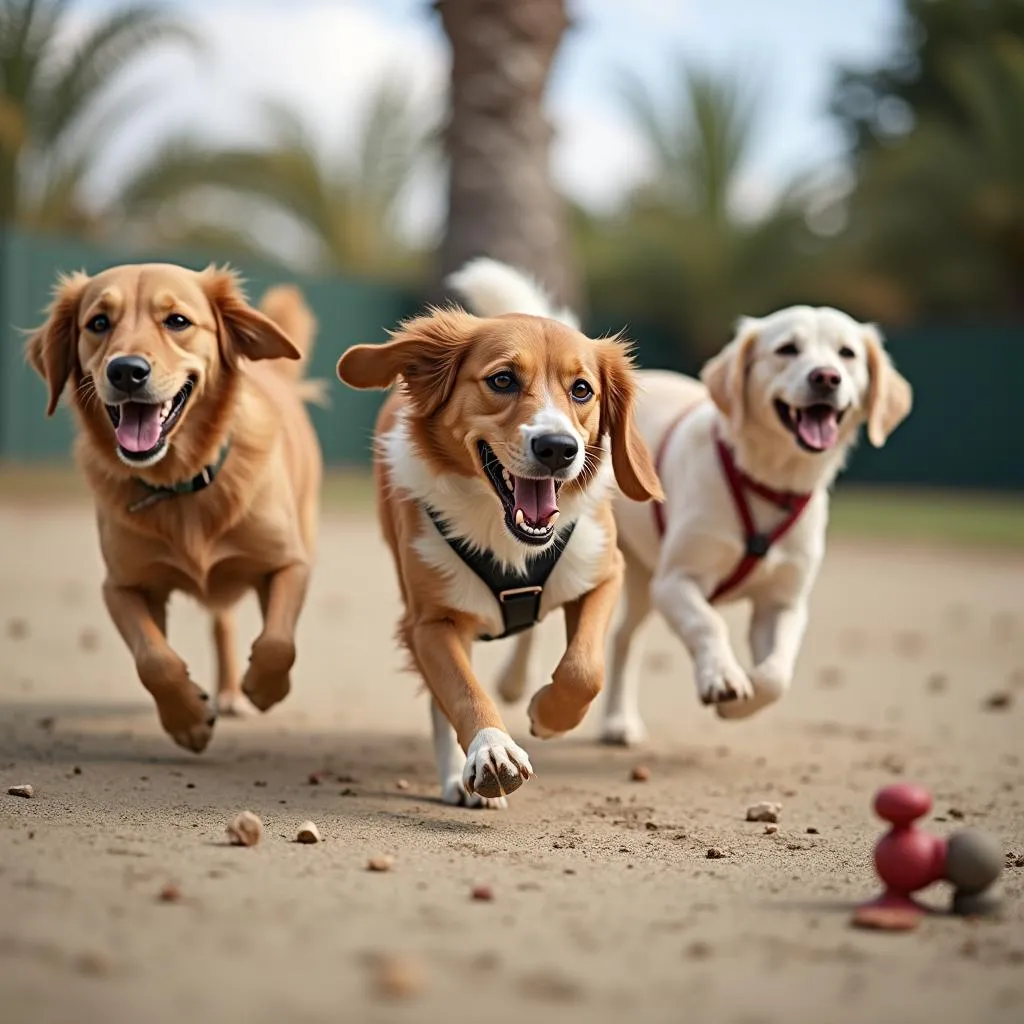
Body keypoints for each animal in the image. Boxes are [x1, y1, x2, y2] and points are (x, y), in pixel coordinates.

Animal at [25, 264, 321, 753]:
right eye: (98, 323)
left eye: (177, 321)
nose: (126, 371)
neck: (180, 484)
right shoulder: (122, 585)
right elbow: (153, 659)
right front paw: (187, 719)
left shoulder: (289, 564)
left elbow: (279, 642)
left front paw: (264, 687)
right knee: (220, 623)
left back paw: (235, 693)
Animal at [335, 258, 663, 806]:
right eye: (503, 380)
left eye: (582, 390)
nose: (558, 448)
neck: (504, 533)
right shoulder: (430, 622)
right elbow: (462, 692)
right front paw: (491, 752)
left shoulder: (604, 574)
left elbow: (584, 668)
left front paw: (549, 714)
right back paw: (461, 775)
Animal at [495, 303, 913, 745]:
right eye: (787, 349)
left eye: (847, 354)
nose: (826, 376)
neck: (768, 484)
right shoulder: (676, 581)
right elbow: (708, 623)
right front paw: (723, 678)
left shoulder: (783, 601)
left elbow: (775, 676)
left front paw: (739, 702)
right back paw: (514, 681)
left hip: (639, 577)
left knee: (624, 638)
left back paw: (619, 720)